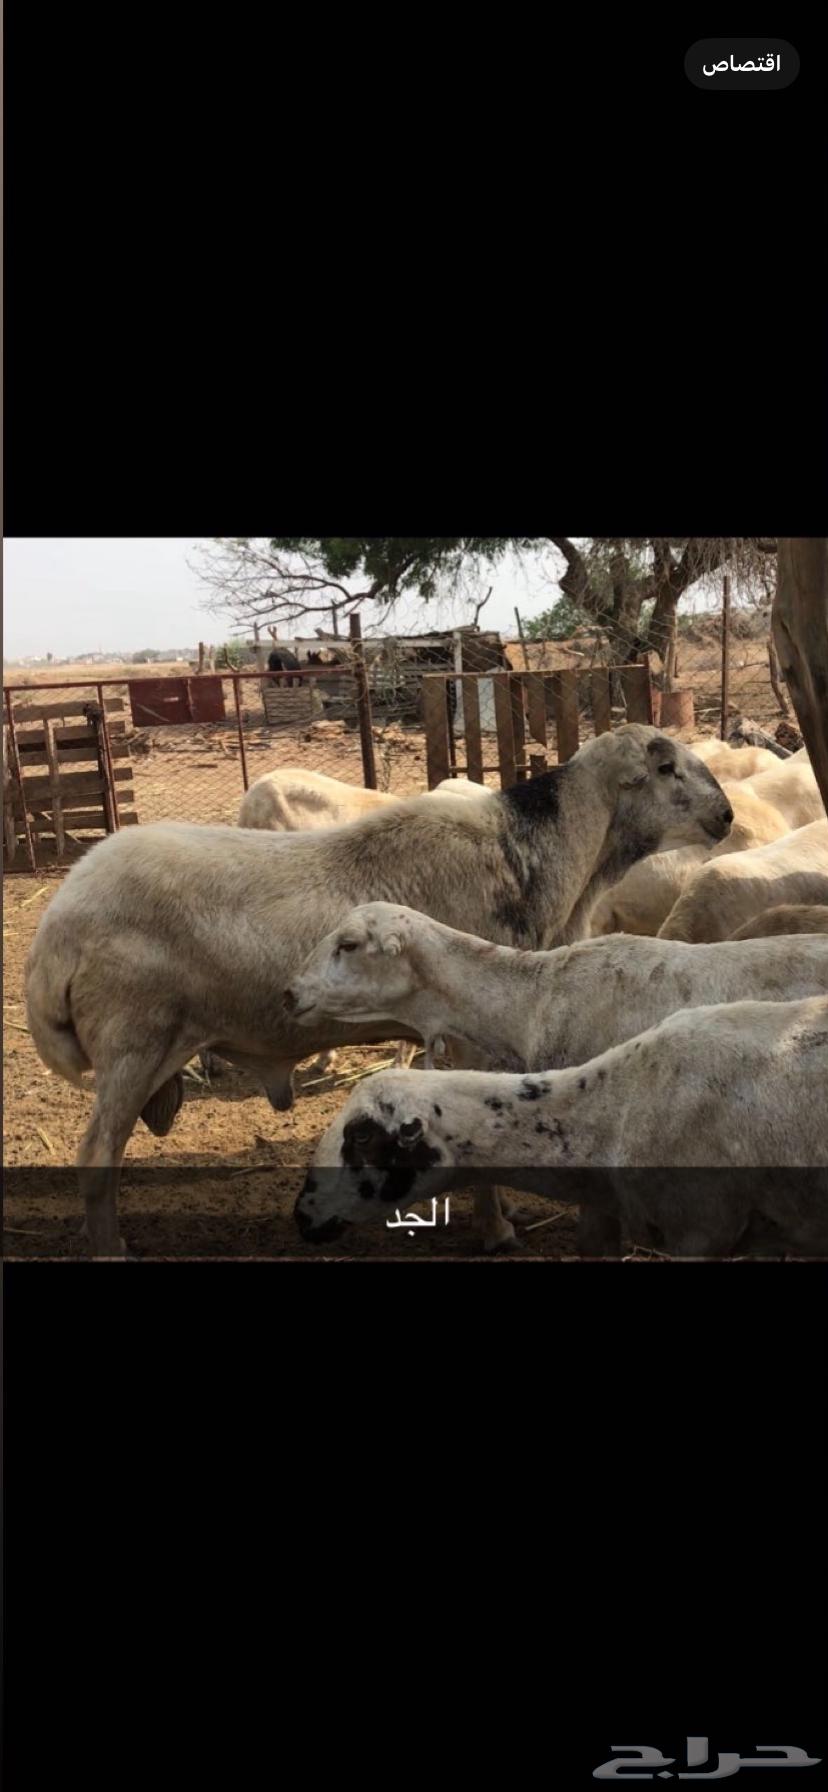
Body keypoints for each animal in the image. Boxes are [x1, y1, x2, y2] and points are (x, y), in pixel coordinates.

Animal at [25, 724, 732, 1256]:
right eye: (667, 767)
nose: (726, 816)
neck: (541, 858)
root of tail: (55, 930)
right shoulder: (467, 1030)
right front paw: (497, 1230)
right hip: (134, 1043)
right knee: (95, 1156)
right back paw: (110, 1248)